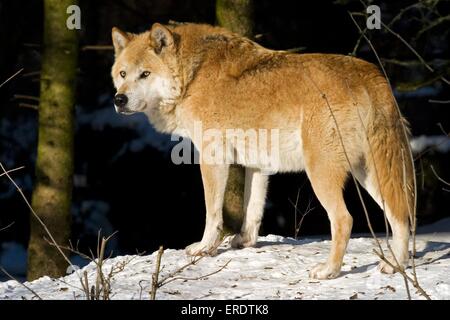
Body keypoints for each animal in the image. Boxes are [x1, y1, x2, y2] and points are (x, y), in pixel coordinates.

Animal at [110, 22, 414, 278]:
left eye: (145, 74)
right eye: (123, 74)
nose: (118, 99)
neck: (191, 76)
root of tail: (371, 76)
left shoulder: (212, 157)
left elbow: (213, 211)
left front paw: (204, 248)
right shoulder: (257, 164)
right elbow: (252, 209)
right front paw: (244, 242)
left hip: (322, 174)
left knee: (345, 219)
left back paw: (329, 270)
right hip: (371, 174)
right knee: (400, 216)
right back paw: (394, 266)